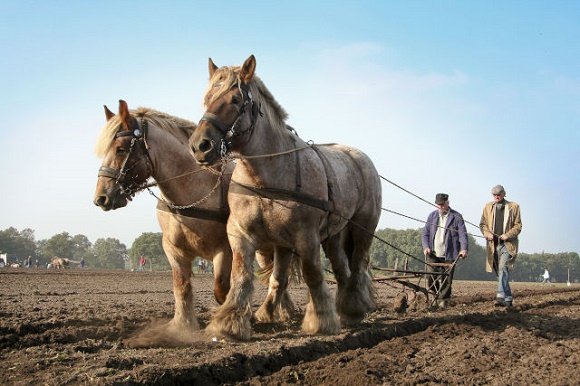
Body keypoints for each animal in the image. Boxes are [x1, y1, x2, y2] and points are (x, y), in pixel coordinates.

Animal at [95, 100, 294, 346]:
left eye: (121, 148)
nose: (101, 198)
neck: (193, 190)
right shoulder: (173, 249)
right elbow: (181, 287)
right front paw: (182, 326)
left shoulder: (224, 250)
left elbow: (221, 289)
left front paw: (230, 320)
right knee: (273, 275)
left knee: (278, 276)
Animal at [188, 55, 382, 340]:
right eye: (207, 97)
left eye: (235, 99)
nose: (199, 145)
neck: (265, 178)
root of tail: (358, 156)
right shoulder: (242, 234)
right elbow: (247, 277)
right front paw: (231, 322)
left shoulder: (306, 235)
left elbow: (312, 274)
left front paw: (320, 320)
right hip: (333, 234)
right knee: (340, 268)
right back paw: (345, 307)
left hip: (363, 228)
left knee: (357, 265)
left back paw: (354, 309)